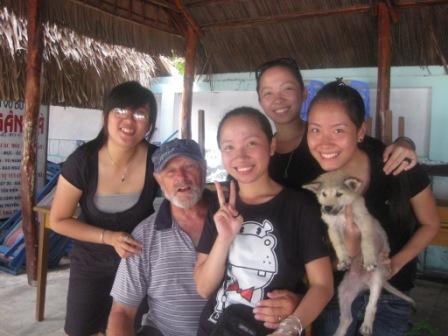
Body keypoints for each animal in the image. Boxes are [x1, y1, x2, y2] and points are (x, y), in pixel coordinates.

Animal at [304, 171, 412, 336]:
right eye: (323, 194)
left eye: (339, 194)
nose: (327, 208)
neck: (342, 212)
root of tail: (364, 283)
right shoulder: (332, 228)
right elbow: (339, 244)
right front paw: (343, 260)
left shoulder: (364, 221)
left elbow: (366, 242)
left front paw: (368, 260)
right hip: (343, 292)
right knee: (347, 319)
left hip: (376, 281)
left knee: (371, 306)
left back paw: (366, 326)